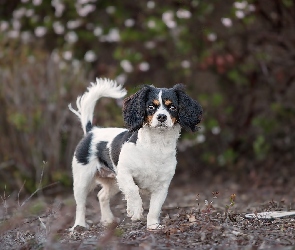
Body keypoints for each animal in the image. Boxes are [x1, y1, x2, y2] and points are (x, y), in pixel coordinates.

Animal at [69, 78, 204, 230]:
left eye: (173, 107)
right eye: (151, 107)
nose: (162, 117)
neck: (156, 145)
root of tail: (92, 131)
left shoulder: (162, 187)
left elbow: (155, 208)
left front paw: (153, 226)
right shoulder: (124, 173)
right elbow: (133, 189)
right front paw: (135, 211)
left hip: (113, 182)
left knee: (101, 195)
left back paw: (108, 220)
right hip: (83, 180)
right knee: (81, 204)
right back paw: (79, 225)